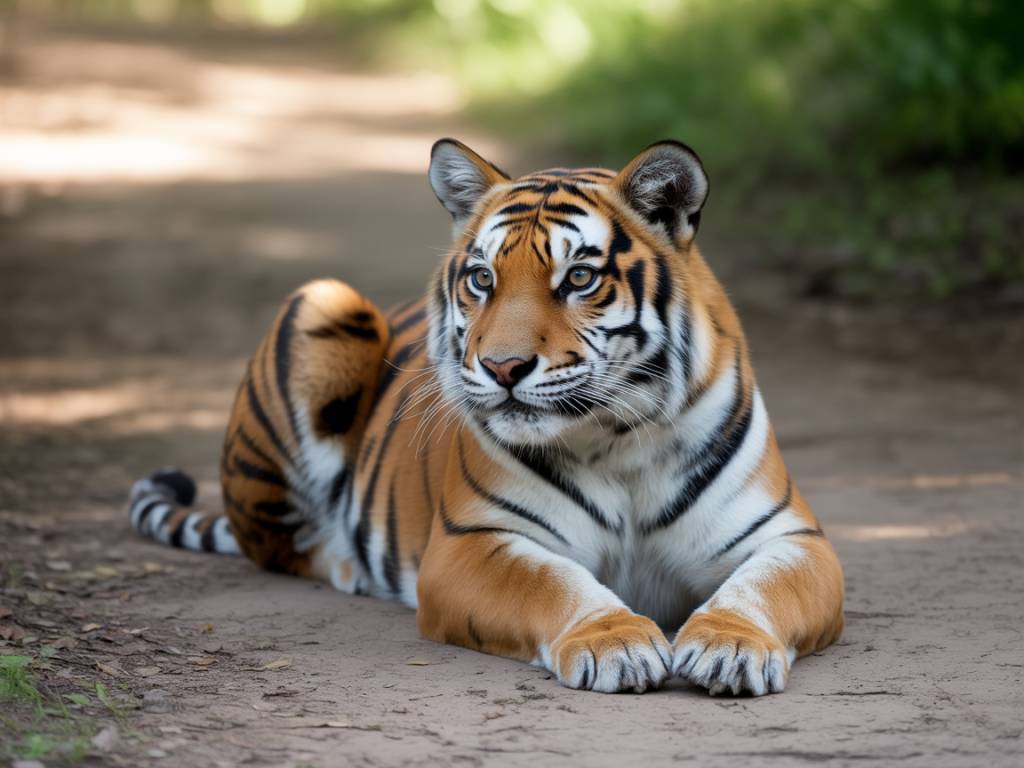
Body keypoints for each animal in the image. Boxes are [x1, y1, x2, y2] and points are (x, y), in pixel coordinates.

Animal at [129, 139, 844, 696]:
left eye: (579, 278)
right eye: (481, 279)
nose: (503, 367)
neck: (615, 439)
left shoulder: (791, 538)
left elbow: (759, 589)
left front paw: (730, 645)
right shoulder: (471, 543)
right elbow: (555, 583)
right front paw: (615, 642)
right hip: (322, 301)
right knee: (282, 544)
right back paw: (347, 563)